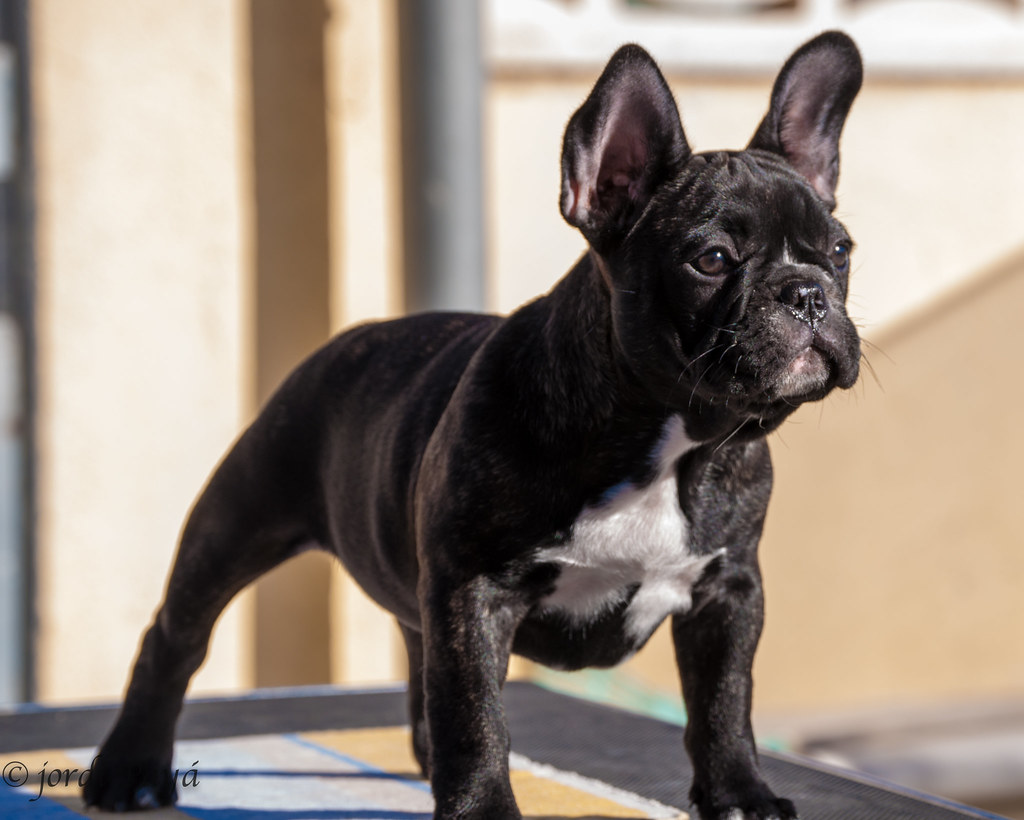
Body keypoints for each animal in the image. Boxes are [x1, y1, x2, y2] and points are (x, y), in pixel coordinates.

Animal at [81, 30, 864, 818]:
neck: (668, 441)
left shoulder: (728, 592)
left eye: (839, 252)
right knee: (176, 635)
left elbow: (724, 701)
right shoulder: (474, 593)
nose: (806, 293)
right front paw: (484, 806)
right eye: (712, 259)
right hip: (239, 517)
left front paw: (740, 793)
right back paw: (130, 765)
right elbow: (478, 714)